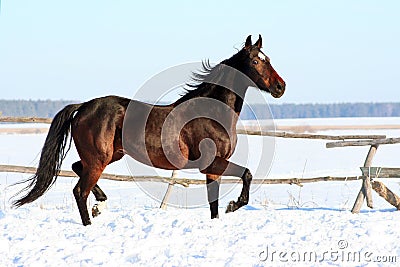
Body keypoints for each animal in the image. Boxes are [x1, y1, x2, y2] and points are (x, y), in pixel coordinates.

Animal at [11, 34, 284, 225]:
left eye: (269, 59)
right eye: (256, 60)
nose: (281, 87)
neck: (211, 112)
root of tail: (84, 107)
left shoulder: (213, 169)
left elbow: (213, 204)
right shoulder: (212, 162)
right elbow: (247, 174)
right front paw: (235, 205)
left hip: (109, 155)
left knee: (77, 168)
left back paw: (101, 205)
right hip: (99, 159)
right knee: (79, 191)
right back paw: (90, 222)